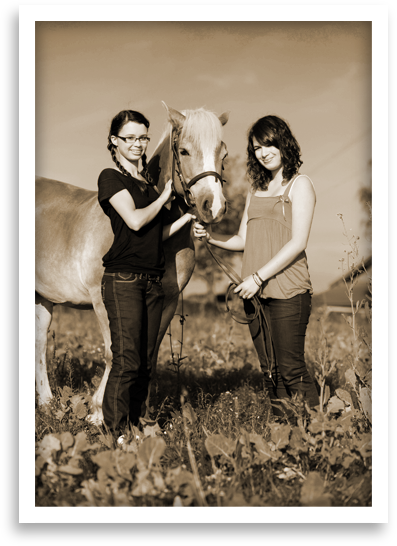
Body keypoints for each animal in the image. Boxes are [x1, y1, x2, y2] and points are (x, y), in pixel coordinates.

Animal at [36, 104, 229, 422]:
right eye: (184, 151)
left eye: (222, 153)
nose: (213, 207)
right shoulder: (102, 299)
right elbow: (114, 352)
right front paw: (98, 412)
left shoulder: (167, 301)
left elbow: (148, 354)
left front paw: (143, 414)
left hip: (43, 297)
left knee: (38, 344)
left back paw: (46, 403)